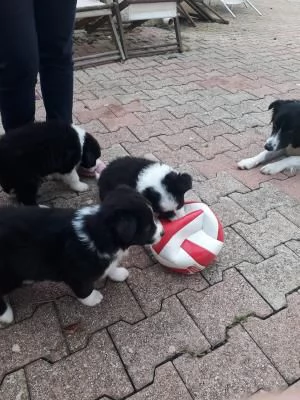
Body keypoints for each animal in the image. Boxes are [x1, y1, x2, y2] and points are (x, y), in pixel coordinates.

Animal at [0, 186, 164, 324]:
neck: (98, 233)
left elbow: (109, 267)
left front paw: (118, 273)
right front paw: (93, 299)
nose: (162, 233)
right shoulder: (76, 272)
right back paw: (6, 315)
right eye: (148, 228)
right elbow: (84, 289)